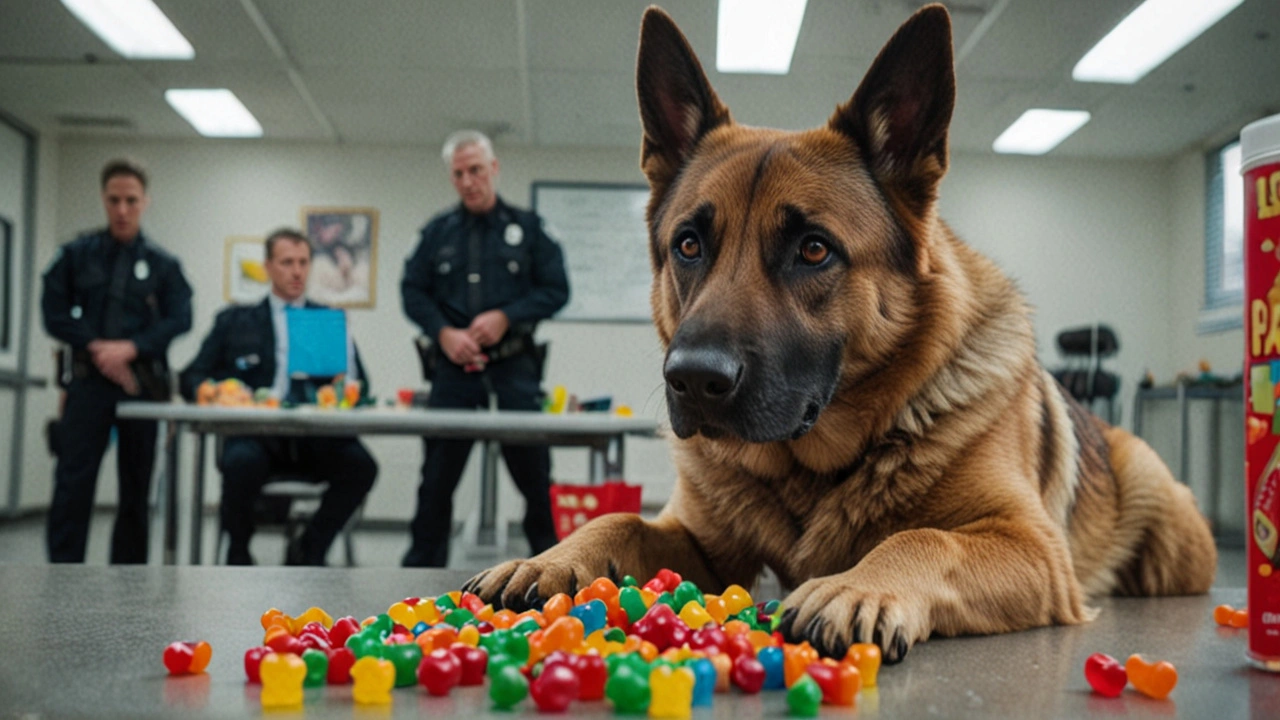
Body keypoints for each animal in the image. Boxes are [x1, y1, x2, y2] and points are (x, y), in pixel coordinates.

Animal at [465, 2, 1213, 661]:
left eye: (814, 249)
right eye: (688, 245)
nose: (692, 379)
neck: (813, 469)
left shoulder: (1031, 545)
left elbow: (924, 538)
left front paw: (857, 587)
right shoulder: (704, 546)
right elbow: (618, 518)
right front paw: (551, 557)